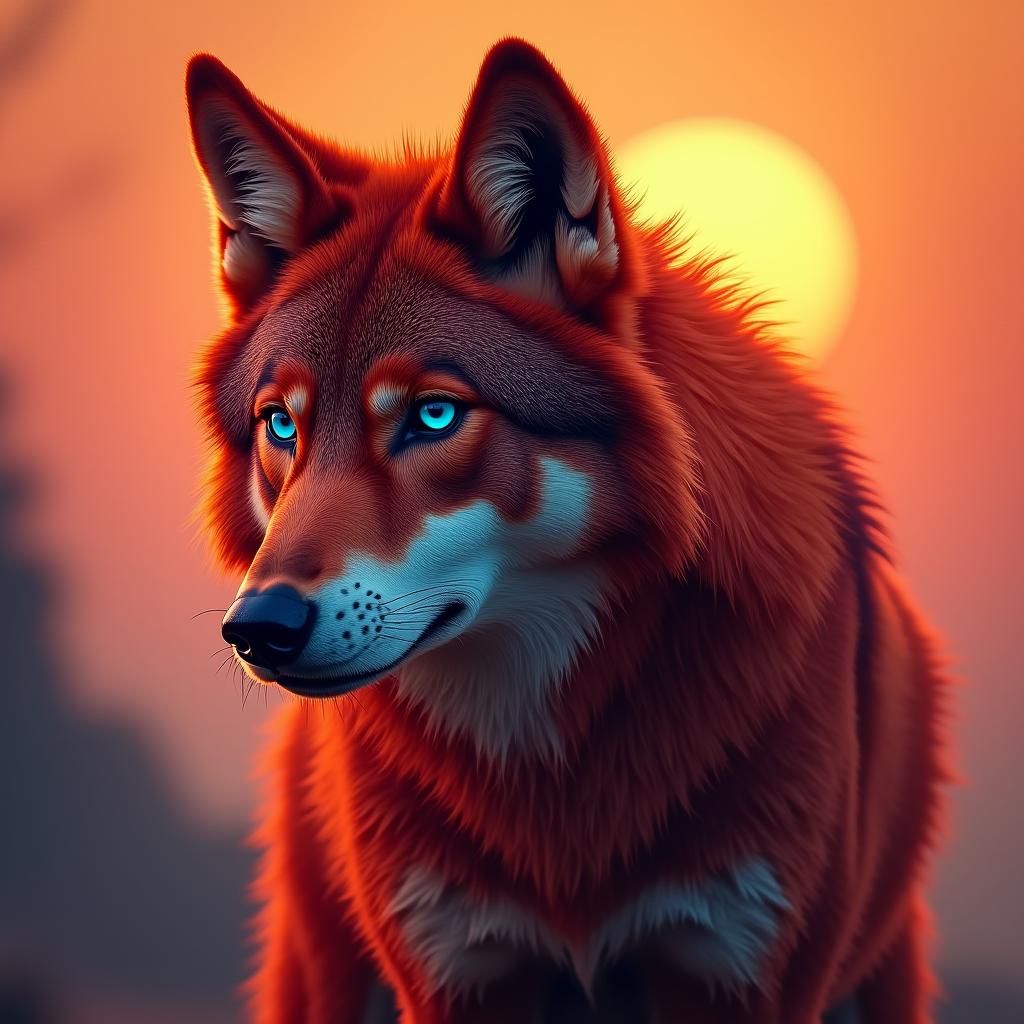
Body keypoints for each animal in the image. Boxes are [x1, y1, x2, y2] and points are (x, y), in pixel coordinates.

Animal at [186, 38, 949, 1024]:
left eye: (433, 416)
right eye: (282, 425)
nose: (261, 628)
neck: (552, 778)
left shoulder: (736, 975)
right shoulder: (461, 976)